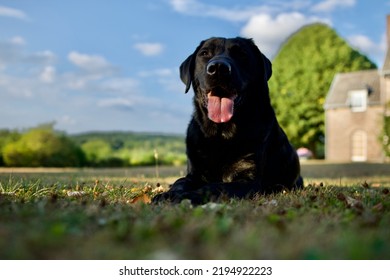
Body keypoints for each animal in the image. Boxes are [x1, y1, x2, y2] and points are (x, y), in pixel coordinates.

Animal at [152, 36, 302, 203]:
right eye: (204, 53)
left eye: (241, 54)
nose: (218, 68)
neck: (221, 134)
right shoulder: (195, 173)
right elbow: (181, 181)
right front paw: (169, 194)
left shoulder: (248, 180)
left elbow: (215, 186)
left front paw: (189, 196)